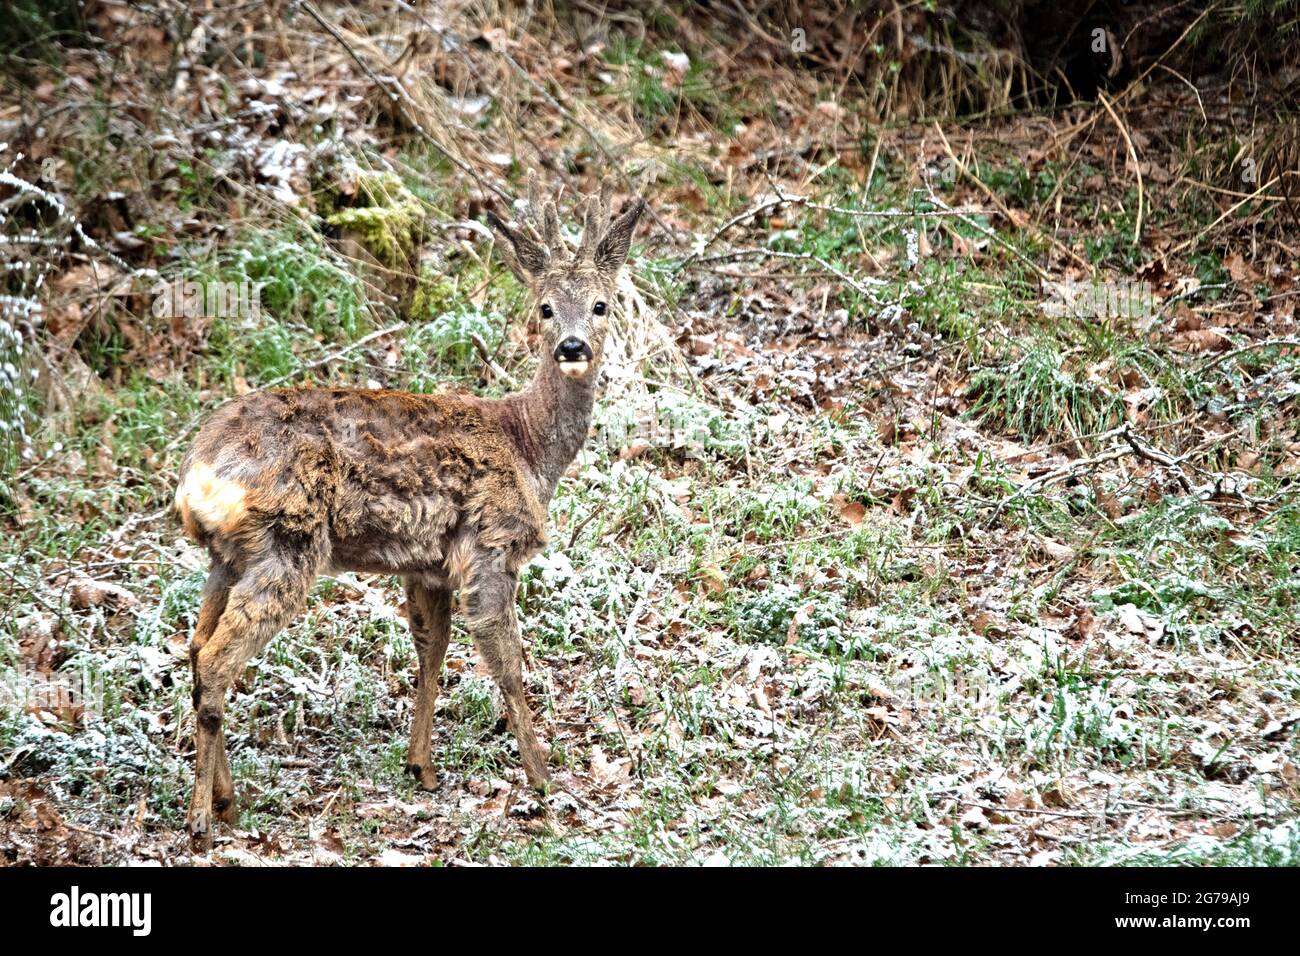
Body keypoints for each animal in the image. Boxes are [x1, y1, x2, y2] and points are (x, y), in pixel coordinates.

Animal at [180, 174, 647, 853]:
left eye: (602, 305)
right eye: (545, 307)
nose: (572, 346)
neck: (528, 445)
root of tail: (199, 471)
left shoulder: (427, 566)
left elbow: (432, 651)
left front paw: (421, 767)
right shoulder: (490, 545)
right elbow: (507, 662)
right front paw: (544, 779)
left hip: (227, 556)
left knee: (195, 650)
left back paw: (225, 801)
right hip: (286, 544)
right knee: (216, 662)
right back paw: (202, 822)